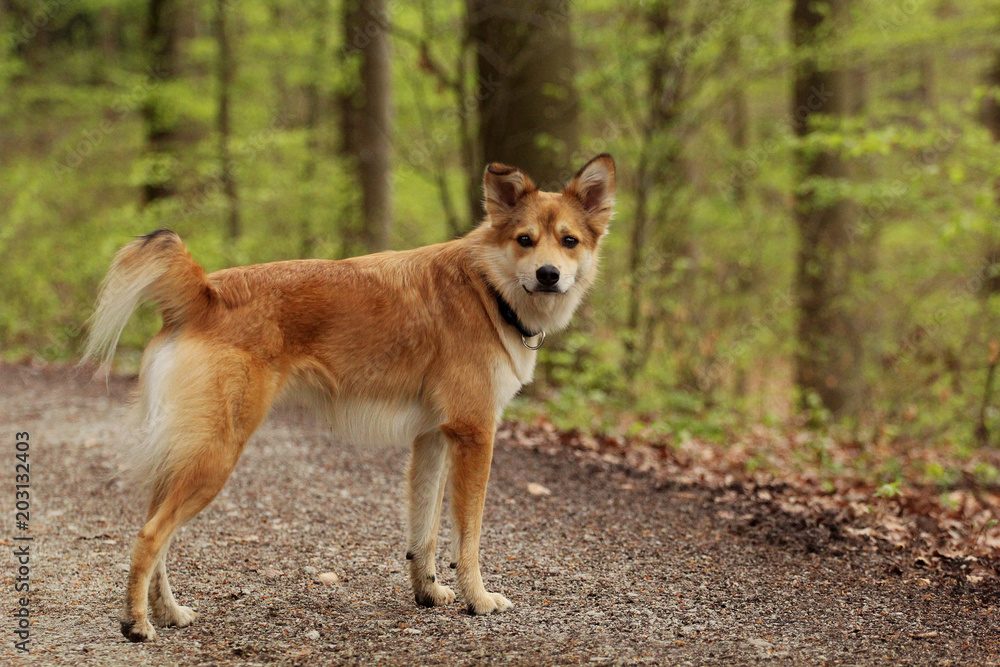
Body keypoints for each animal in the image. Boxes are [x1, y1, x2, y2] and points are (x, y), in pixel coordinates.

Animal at [86, 153, 612, 640]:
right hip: (213, 457)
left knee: (157, 536)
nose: (548, 274)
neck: (487, 286)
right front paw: (478, 600)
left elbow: (423, 531)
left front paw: (428, 592)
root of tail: (204, 293)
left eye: (569, 241)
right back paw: (137, 624)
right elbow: (468, 538)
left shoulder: (432, 438)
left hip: (187, 456)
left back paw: (168, 613)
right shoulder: (474, 434)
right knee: (149, 537)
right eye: (524, 240)